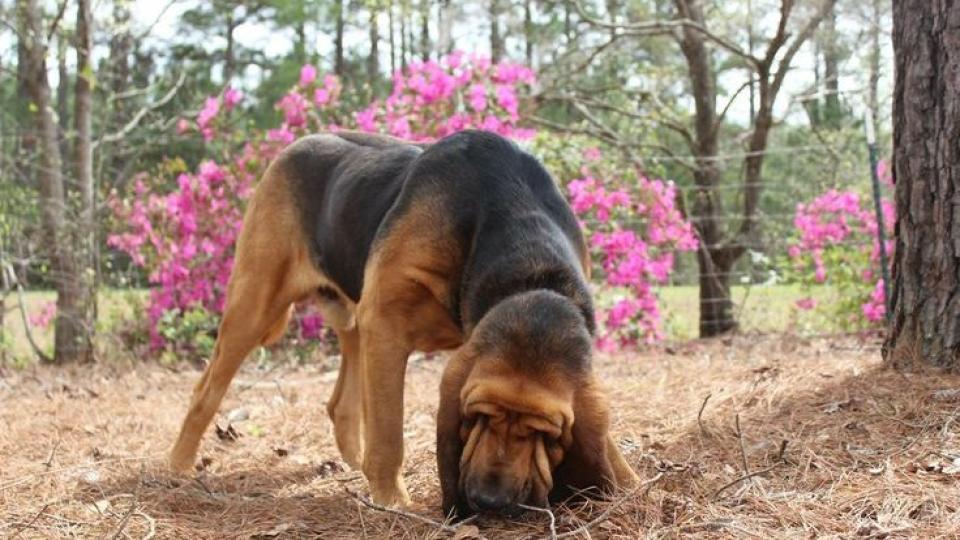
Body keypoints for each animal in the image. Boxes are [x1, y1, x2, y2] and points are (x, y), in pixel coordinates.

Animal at [170, 127, 640, 516]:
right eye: (476, 415)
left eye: (547, 432)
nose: (491, 500)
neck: (530, 275)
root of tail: (294, 144)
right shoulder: (386, 327)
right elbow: (389, 435)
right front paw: (394, 502)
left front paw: (630, 482)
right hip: (256, 305)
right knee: (204, 392)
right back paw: (179, 466)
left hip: (353, 324)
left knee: (341, 406)